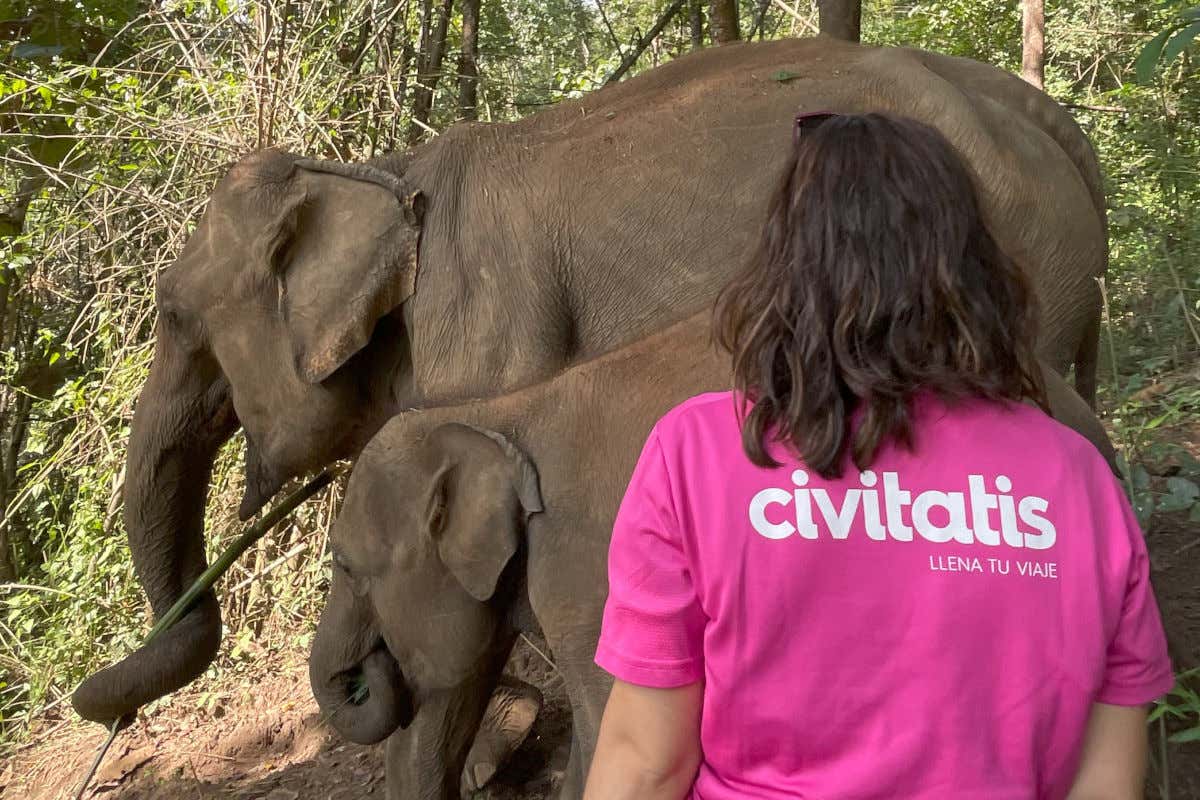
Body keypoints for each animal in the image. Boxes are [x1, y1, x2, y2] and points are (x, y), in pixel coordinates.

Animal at [307, 309, 1113, 800]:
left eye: (346, 566)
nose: (366, 670)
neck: (495, 411)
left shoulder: (585, 568)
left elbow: (616, 731)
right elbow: (445, 705)